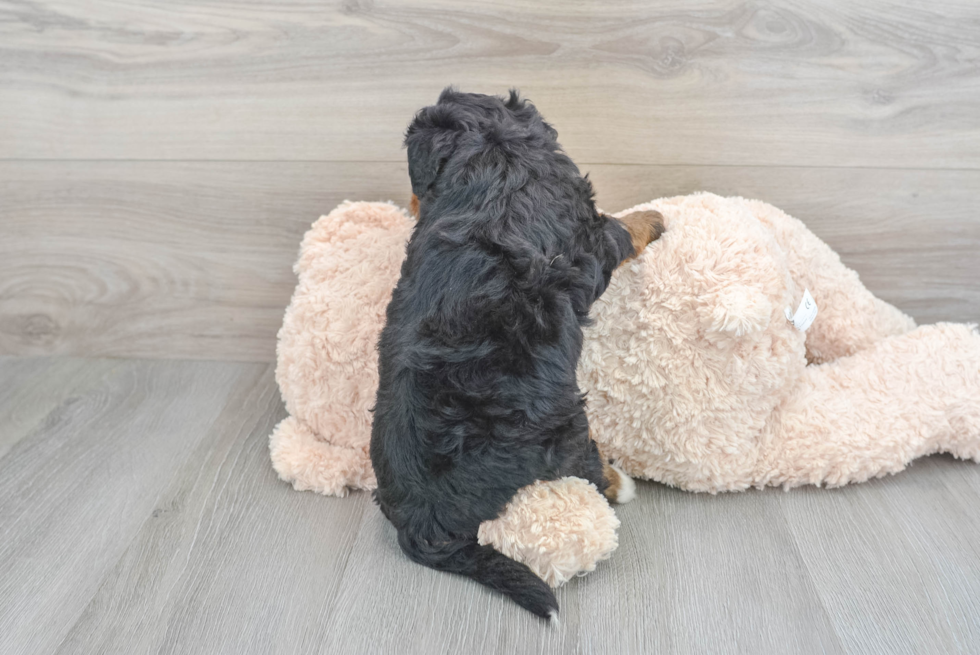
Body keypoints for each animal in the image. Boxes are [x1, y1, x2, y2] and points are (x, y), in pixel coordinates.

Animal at [372, 88, 664, 620]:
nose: (411, 204)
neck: (497, 153)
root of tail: (420, 523)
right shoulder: (591, 233)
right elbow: (620, 229)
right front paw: (654, 217)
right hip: (563, 425)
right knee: (585, 467)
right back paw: (618, 482)